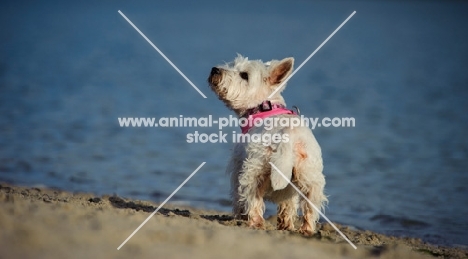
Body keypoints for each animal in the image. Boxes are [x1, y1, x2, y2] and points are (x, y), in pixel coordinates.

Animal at [207, 54, 328, 236]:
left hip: (253, 169)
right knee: (310, 207)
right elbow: (288, 204)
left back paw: (254, 222)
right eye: (233, 65)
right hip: (310, 175)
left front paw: (239, 216)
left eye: (244, 75)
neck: (264, 107)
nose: (215, 69)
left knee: (253, 198)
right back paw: (305, 230)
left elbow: (237, 195)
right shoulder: (290, 187)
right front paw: (286, 224)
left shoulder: (237, 165)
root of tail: (287, 135)